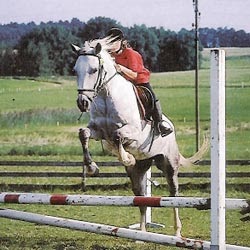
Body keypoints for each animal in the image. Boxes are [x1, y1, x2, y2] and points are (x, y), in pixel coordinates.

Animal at [71, 37, 207, 236]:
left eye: (94, 70)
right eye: (75, 70)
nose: (82, 103)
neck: (106, 96)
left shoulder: (132, 131)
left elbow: (118, 135)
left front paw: (127, 157)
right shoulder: (98, 130)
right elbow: (84, 134)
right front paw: (92, 167)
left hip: (169, 164)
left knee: (173, 194)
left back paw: (177, 232)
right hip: (140, 168)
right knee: (141, 196)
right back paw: (141, 234)